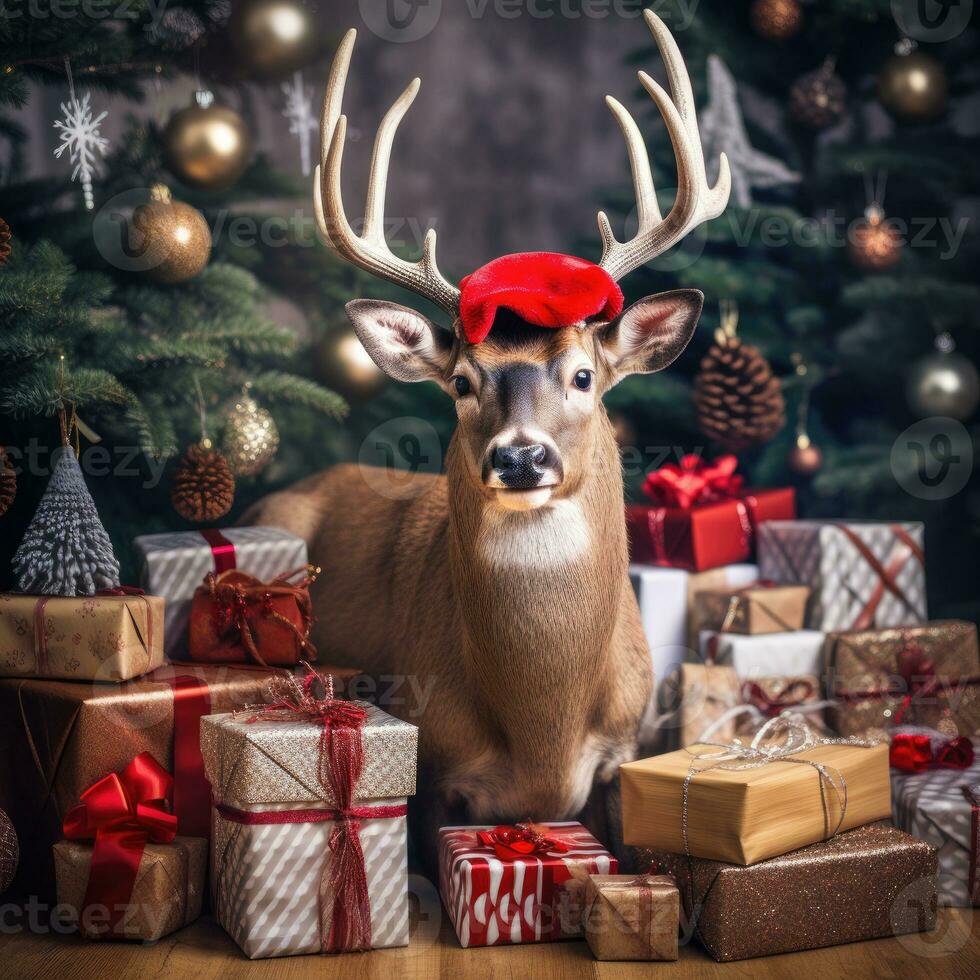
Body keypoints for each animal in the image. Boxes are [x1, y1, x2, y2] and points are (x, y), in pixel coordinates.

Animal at [249, 11, 732, 860]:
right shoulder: (437, 763)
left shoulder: (625, 747)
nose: (521, 456)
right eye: (463, 383)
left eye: (583, 375)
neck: (545, 723)